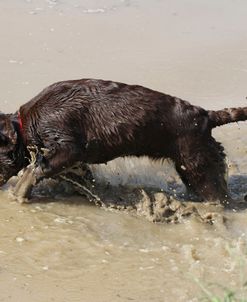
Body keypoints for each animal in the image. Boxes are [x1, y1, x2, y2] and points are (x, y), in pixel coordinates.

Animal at [0, 79, 247, 202]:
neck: (24, 125)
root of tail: (206, 116)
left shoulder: (68, 147)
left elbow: (35, 170)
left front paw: (18, 194)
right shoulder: (74, 164)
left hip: (199, 165)